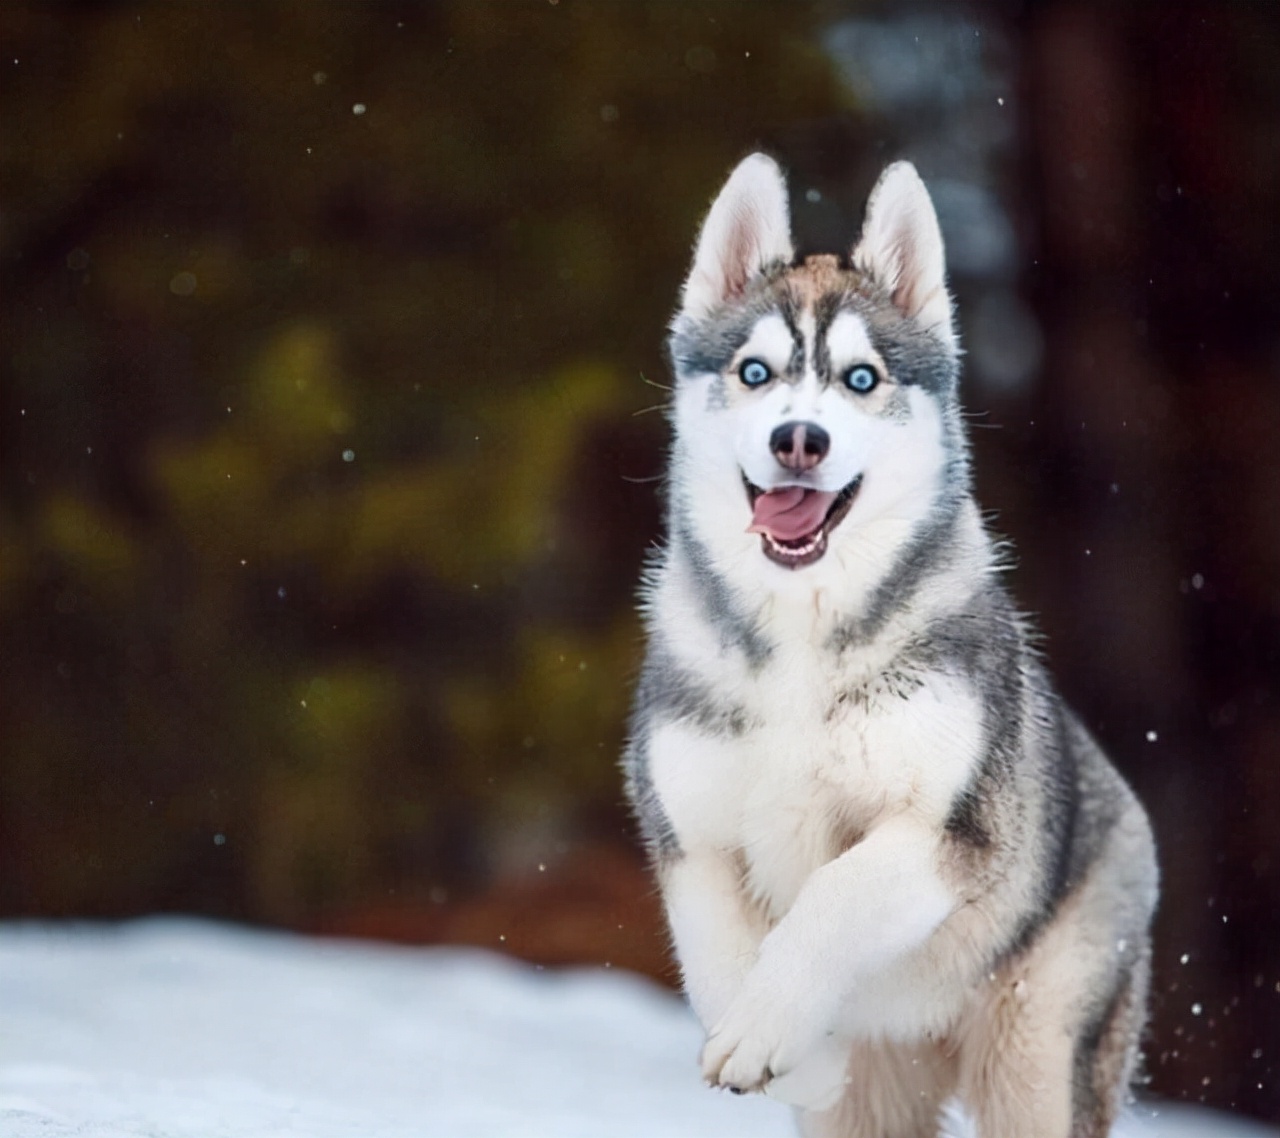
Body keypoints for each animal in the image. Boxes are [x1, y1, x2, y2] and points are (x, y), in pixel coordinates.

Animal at [622, 152, 1162, 1136]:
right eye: (754, 371)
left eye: (862, 379)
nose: (799, 439)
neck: (802, 636)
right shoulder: (687, 835)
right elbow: (713, 958)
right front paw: (790, 1056)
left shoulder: (950, 833)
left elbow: (835, 895)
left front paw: (769, 1028)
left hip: (1037, 1049)